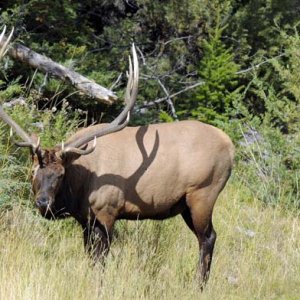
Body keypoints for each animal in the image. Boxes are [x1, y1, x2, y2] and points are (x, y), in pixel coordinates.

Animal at [0, 28, 234, 286]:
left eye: (61, 174)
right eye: (33, 171)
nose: (43, 203)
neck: (80, 187)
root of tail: (230, 146)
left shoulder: (107, 212)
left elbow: (100, 262)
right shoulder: (86, 220)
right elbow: (90, 258)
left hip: (203, 194)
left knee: (208, 237)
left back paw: (199, 285)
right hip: (185, 205)